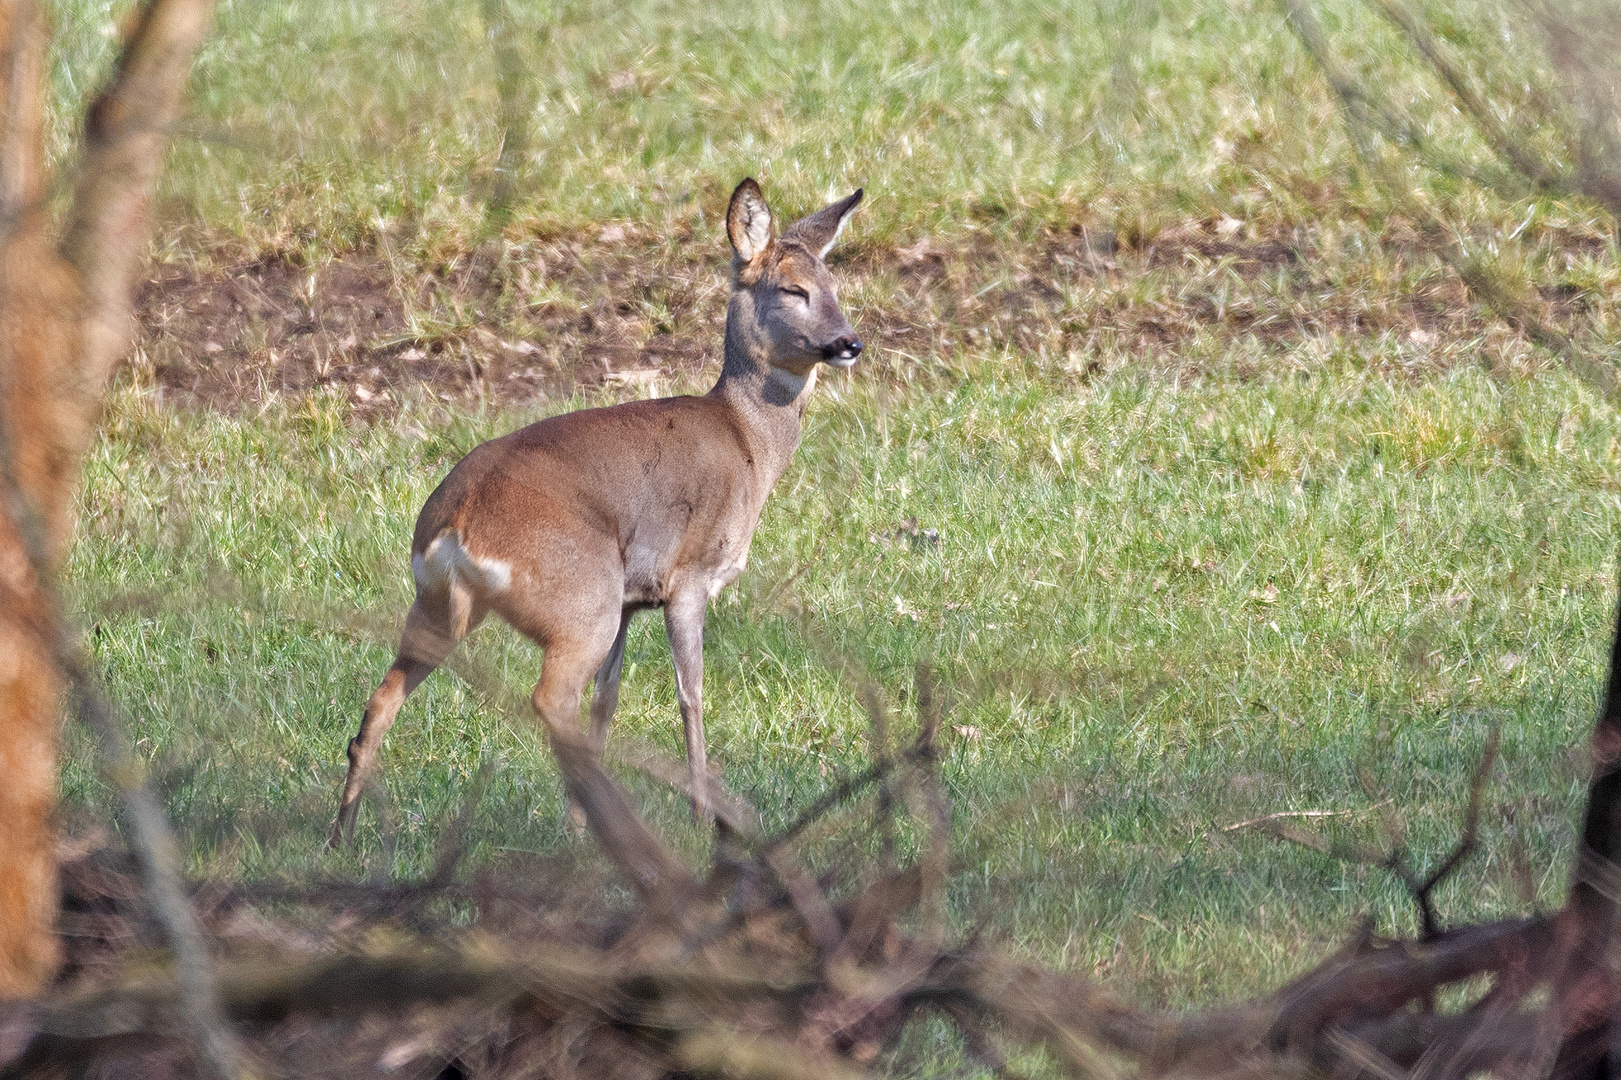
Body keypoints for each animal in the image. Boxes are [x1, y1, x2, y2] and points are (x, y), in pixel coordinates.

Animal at [325, 180, 862, 843]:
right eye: (792, 288)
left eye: (834, 284)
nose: (849, 343)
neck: (747, 443)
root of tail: (455, 526)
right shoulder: (688, 575)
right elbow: (691, 692)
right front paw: (702, 817)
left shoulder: (633, 596)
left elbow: (610, 695)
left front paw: (581, 820)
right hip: (579, 598)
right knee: (550, 699)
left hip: (441, 603)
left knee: (382, 700)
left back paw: (344, 833)